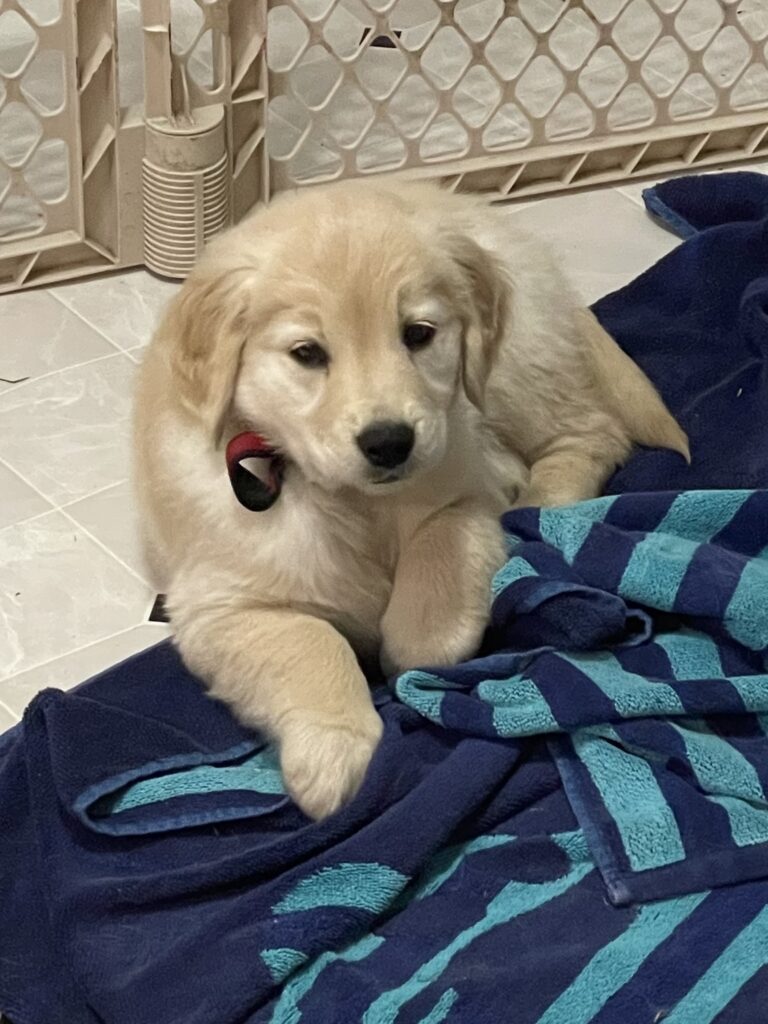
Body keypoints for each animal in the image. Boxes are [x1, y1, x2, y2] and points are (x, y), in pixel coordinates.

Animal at [134, 180, 692, 819]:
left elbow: (438, 552)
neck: (353, 503)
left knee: (594, 431)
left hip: (513, 369)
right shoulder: (220, 604)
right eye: (307, 353)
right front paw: (334, 753)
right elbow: (309, 641)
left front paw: (414, 647)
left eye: (418, 334)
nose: (389, 442)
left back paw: (543, 503)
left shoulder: (469, 486)